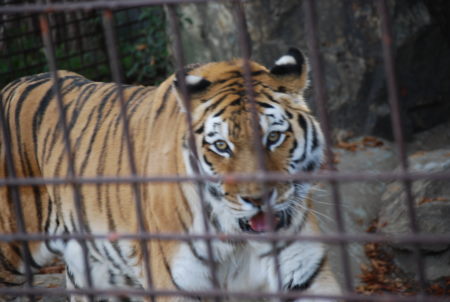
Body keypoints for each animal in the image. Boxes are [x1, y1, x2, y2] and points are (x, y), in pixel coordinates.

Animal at [0, 48, 342, 300]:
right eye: (221, 146)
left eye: (273, 137)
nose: (257, 199)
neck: (238, 239)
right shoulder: (178, 285)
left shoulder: (306, 276)